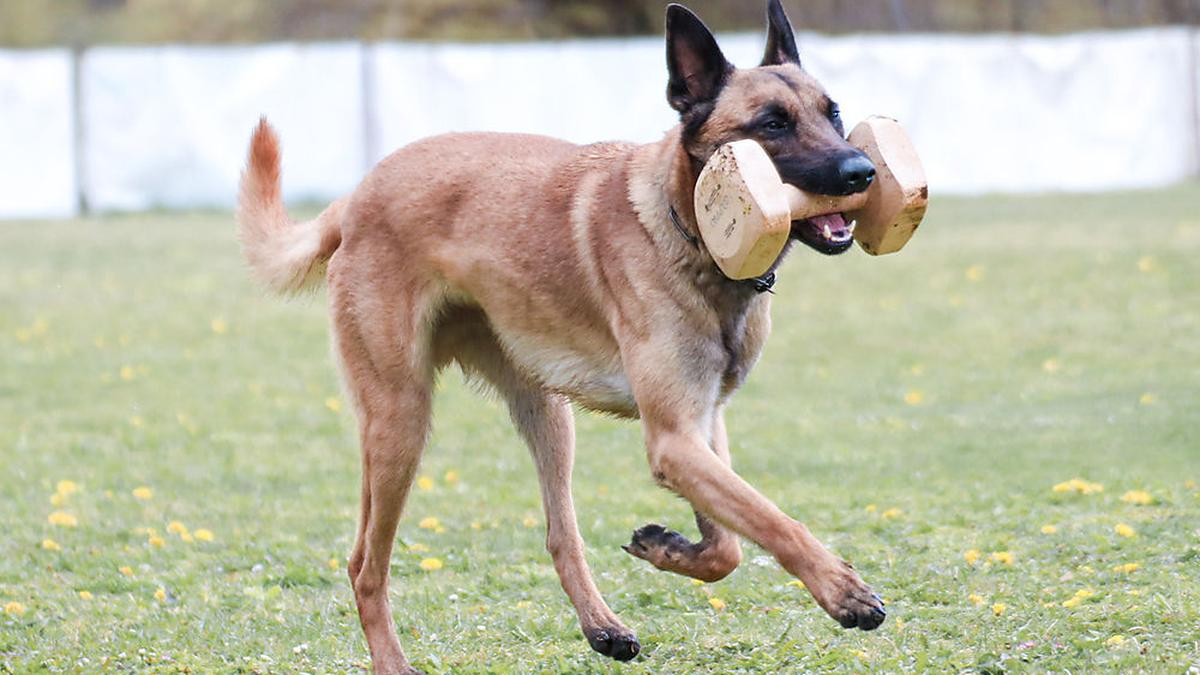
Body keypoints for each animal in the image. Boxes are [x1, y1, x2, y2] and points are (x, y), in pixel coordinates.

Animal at [238, 3, 888, 667]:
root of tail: (356, 196)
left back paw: (602, 626)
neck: (688, 231)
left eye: (833, 113)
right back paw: (394, 663)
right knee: (365, 563)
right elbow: (771, 519)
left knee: (559, 533)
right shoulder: (674, 441)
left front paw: (668, 547)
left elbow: (729, 544)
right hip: (400, 422)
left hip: (544, 413)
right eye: (772, 124)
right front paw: (844, 591)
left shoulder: (699, 425)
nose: (862, 171)